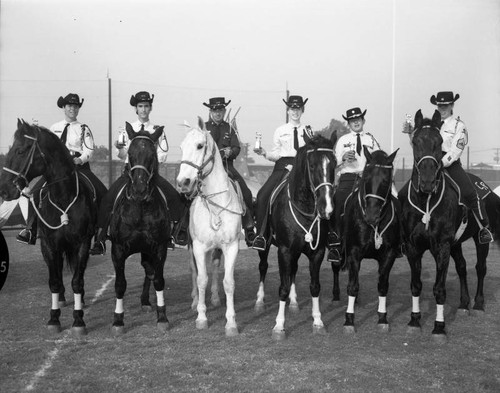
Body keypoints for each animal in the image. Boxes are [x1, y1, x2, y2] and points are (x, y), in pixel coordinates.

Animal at [0, 119, 100, 334]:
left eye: (21, 150)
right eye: (10, 149)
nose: (4, 190)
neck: (63, 198)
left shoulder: (82, 244)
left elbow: (77, 281)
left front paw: (78, 320)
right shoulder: (49, 245)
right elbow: (54, 281)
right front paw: (54, 318)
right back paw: (61, 299)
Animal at [177, 117, 243, 336]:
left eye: (199, 145)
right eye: (181, 147)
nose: (183, 183)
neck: (215, 206)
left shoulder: (231, 247)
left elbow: (228, 283)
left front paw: (231, 323)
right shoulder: (198, 247)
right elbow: (201, 279)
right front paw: (201, 317)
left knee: (214, 267)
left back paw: (214, 298)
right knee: (195, 270)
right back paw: (195, 300)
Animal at [254, 132, 336, 340]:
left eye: (334, 163)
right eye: (312, 165)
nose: (326, 208)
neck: (304, 210)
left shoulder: (317, 252)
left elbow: (314, 286)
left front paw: (318, 321)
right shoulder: (284, 251)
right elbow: (282, 287)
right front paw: (279, 326)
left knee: (293, 270)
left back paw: (294, 302)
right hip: (266, 246)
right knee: (263, 267)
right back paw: (259, 301)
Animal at [342, 146, 400, 330]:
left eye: (386, 180)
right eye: (366, 177)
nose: (371, 216)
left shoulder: (389, 254)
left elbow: (382, 286)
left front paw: (382, 318)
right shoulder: (353, 253)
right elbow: (352, 286)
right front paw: (349, 319)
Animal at [398, 108, 496, 338]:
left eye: (439, 141)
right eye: (415, 141)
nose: (426, 182)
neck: (425, 202)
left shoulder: (441, 247)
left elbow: (439, 289)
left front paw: (439, 327)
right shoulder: (413, 248)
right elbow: (416, 285)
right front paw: (414, 321)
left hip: (480, 240)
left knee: (480, 267)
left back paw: (478, 304)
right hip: (456, 244)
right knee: (462, 267)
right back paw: (463, 304)